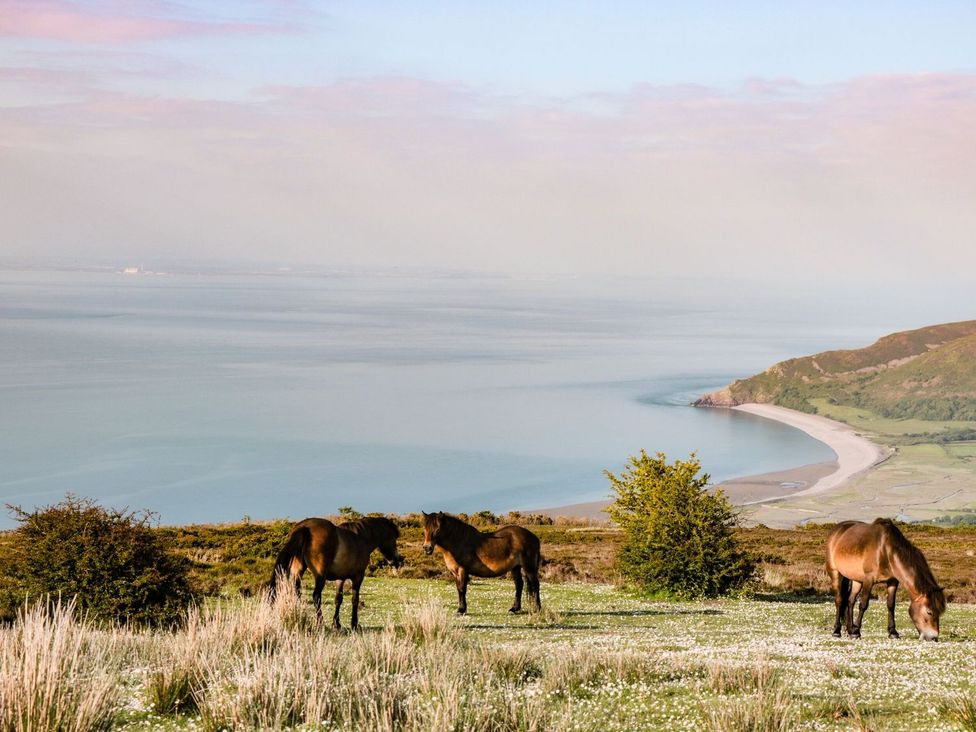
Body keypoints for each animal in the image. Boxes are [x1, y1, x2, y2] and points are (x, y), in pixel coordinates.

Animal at [269, 516, 404, 630]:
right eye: (394, 538)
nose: (397, 561)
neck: (361, 538)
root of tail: (305, 527)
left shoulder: (340, 578)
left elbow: (338, 599)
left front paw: (337, 623)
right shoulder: (358, 577)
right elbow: (355, 599)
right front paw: (354, 624)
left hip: (298, 571)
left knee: (297, 591)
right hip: (320, 576)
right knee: (316, 596)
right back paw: (320, 623)